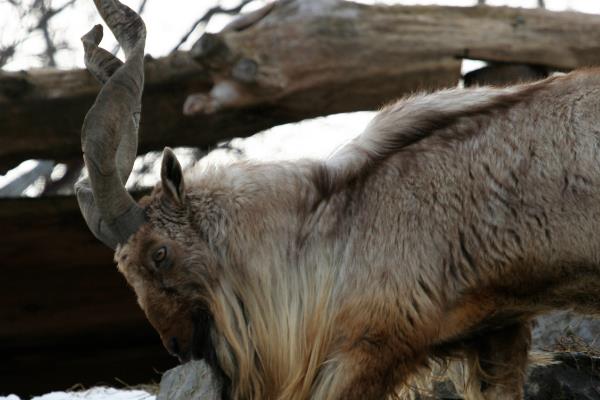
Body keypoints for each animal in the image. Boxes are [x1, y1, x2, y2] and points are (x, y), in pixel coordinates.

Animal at [77, 3, 600, 400]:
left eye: (159, 253)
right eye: (125, 272)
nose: (177, 345)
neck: (337, 220)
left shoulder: (374, 344)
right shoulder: (497, 330)